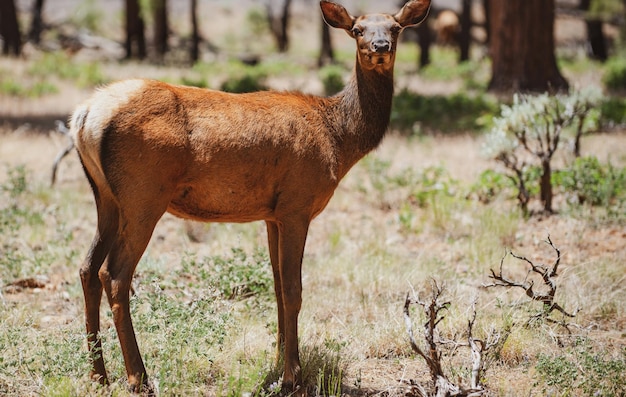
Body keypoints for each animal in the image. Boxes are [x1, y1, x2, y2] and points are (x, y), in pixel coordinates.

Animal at [68, 0, 428, 392]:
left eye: (395, 28)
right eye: (358, 29)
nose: (380, 47)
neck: (339, 139)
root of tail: (85, 116)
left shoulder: (272, 213)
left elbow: (277, 286)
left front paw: (279, 361)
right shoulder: (297, 203)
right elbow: (294, 289)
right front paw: (292, 376)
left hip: (106, 197)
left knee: (87, 268)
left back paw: (98, 374)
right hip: (144, 194)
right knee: (115, 274)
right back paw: (139, 377)